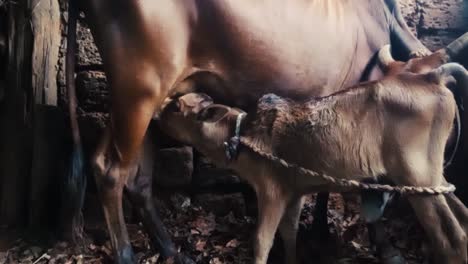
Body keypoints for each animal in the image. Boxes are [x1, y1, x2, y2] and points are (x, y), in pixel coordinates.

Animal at [160, 62, 468, 264]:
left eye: (176, 106)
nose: (156, 115)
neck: (243, 135)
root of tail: (433, 76)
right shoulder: (294, 192)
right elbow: (290, 232)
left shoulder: (271, 190)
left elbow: (262, 241)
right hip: (432, 177)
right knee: (461, 215)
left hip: (415, 174)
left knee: (451, 237)